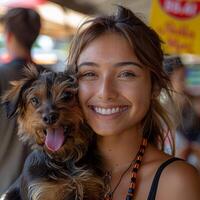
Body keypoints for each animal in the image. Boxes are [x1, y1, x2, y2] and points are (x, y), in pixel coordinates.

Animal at [1, 66, 104, 200]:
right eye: (34, 100)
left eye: (67, 95)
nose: (50, 117)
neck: (62, 159)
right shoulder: (43, 191)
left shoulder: (91, 186)